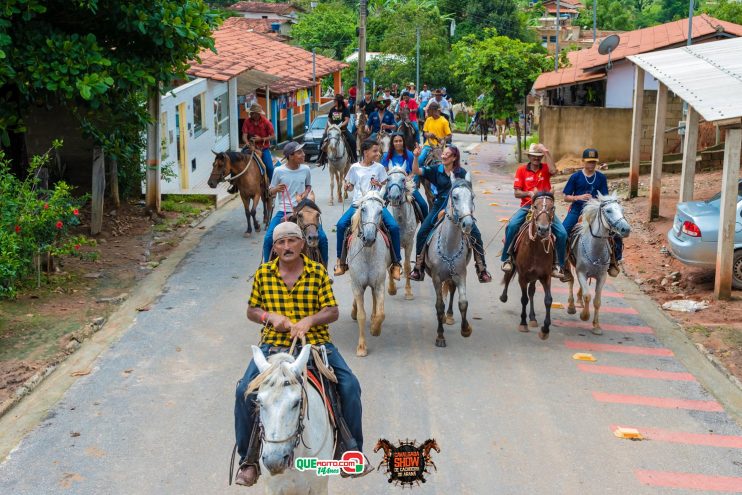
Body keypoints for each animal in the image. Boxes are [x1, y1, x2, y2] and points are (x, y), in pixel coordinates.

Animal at [350, 192, 392, 358]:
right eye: (363, 209)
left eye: (381, 211)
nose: (368, 238)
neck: (367, 252)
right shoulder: (357, 285)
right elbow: (361, 315)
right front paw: (361, 347)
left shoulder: (379, 284)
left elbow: (382, 314)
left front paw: (375, 329)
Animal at [424, 179, 476, 348]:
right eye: (455, 197)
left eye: (472, 197)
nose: (468, 224)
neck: (450, 245)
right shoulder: (436, 277)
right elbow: (439, 306)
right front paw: (440, 336)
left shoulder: (461, 274)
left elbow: (463, 302)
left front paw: (466, 329)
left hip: (452, 275)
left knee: (452, 290)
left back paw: (450, 315)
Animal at [502, 192, 556, 340]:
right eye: (535, 206)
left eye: (552, 207)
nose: (543, 229)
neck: (536, 248)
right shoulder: (523, 276)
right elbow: (524, 299)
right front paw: (523, 323)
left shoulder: (545, 276)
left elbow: (548, 300)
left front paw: (545, 329)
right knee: (508, 277)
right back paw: (503, 297)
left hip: (534, 277)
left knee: (532, 291)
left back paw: (532, 318)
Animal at [568, 192, 632, 336]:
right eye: (608, 210)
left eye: (622, 210)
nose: (625, 229)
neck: (594, 248)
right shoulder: (581, 272)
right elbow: (587, 295)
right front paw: (584, 316)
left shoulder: (602, 276)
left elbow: (597, 301)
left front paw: (596, 326)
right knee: (570, 281)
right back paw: (571, 306)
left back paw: (578, 300)